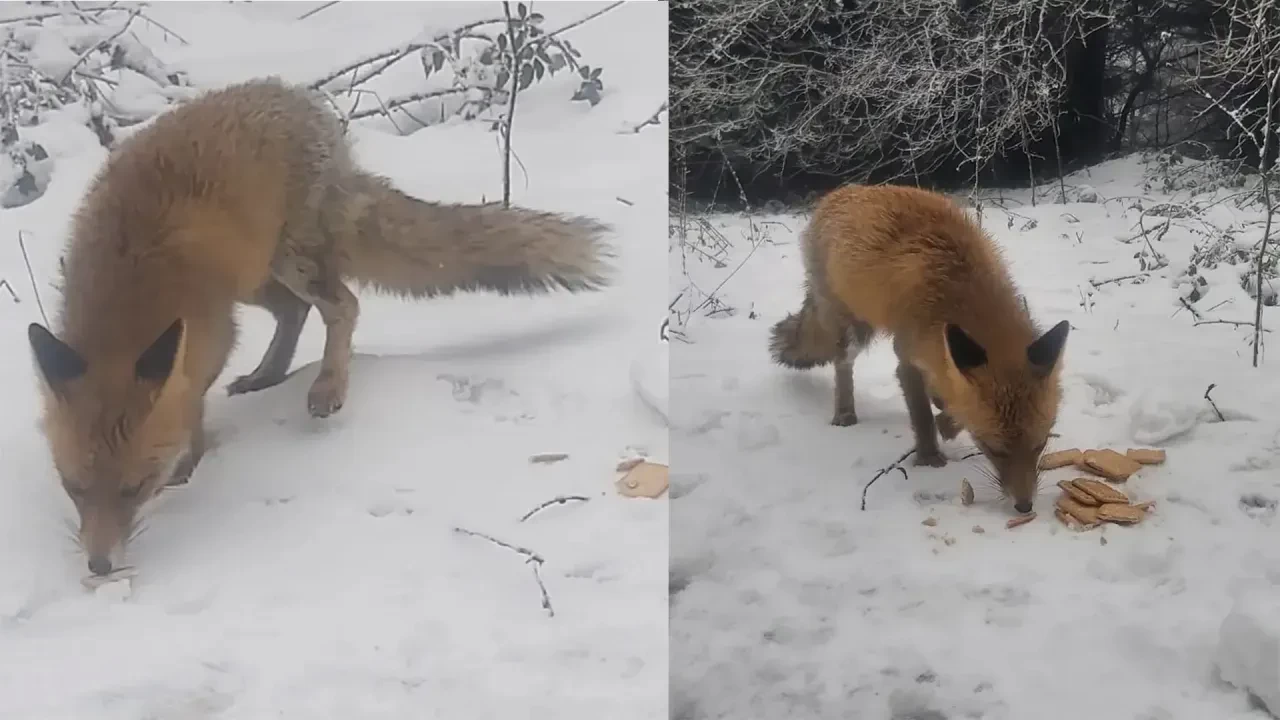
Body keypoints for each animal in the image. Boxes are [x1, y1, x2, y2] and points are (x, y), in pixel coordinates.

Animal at [26, 78, 614, 573]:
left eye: (134, 489)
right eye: (75, 488)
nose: (100, 566)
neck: (124, 301)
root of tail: (307, 103)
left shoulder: (209, 339)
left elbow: (192, 406)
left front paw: (188, 470)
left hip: (291, 261)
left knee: (343, 306)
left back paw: (328, 385)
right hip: (258, 274)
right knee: (294, 312)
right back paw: (267, 376)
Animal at [768, 183, 1070, 509]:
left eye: (1040, 443)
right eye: (993, 449)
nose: (1024, 505)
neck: (958, 291)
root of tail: (840, 191)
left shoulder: (944, 355)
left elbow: (951, 401)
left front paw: (946, 420)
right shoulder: (908, 356)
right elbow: (922, 415)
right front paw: (929, 455)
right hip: (853, 331)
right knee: (842, 366)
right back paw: (845, 413)